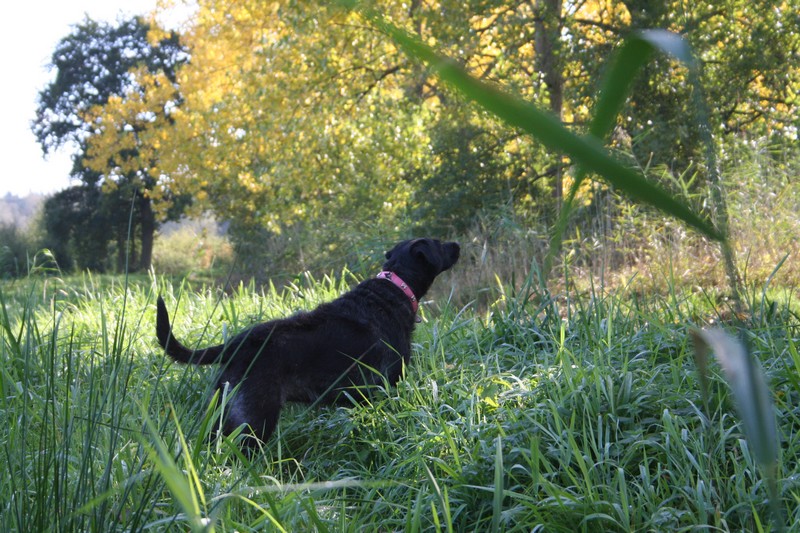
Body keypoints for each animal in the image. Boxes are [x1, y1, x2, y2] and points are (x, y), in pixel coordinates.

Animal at [156, 238, 460, 448]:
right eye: (438, 243)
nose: (457, 244)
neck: (395, 287)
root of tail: (236, 345)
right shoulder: (387, 385)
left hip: (221, 412)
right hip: (255, 418)